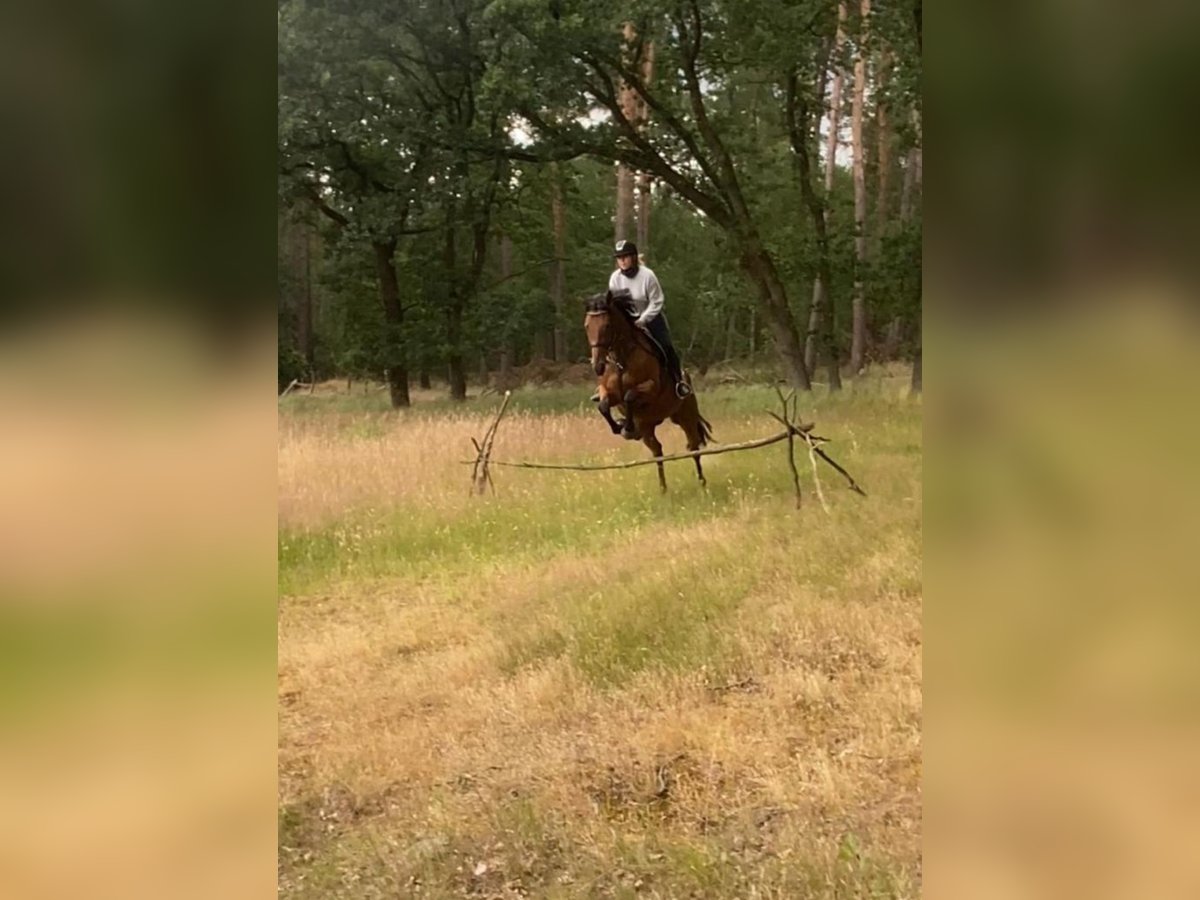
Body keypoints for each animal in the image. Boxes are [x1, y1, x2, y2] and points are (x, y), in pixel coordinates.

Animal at [583, 290, 710, 494]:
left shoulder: (651, 388)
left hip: (685, 417)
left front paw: (626, 427)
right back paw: (663, 488)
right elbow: (603, 406)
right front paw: (619, 427)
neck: (622, 359)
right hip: (647, 427)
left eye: (607, 325)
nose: (598, 366)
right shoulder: (609, 393)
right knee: (657, 451)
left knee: (693, 447)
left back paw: (702, 482)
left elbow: (629, 396)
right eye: (587, 326)